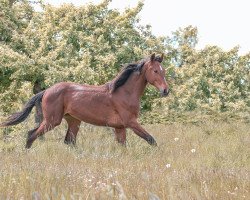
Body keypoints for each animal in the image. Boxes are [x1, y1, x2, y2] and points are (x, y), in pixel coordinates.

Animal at [0, 53, 169, 148]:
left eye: (163, 71)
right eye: (155, 70)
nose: (166, 91)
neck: (124, 92)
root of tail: (46, 91)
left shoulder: (120, 127)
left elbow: (123, 146)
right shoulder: (131, 122)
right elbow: (151, 140)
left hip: (74, 121)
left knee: (69, 142)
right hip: (52, 121)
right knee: (31, 135)